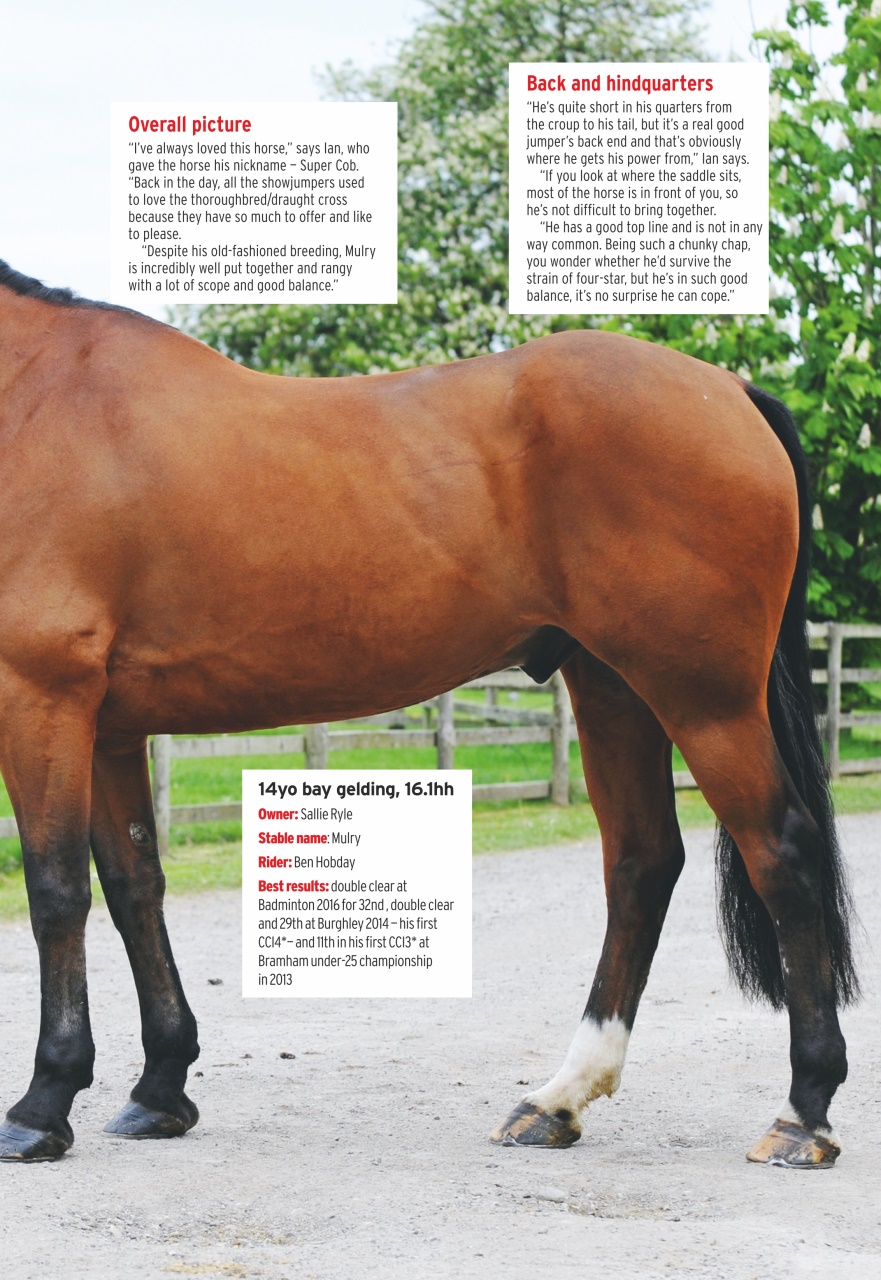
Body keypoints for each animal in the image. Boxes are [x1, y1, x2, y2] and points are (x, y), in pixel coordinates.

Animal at [0, 260, 858, 1167]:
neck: (36, 395)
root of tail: (727, 389)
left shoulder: (41, 696)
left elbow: (55, 891)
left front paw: (42, 1102)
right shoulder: (108, 727)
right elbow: (135, 887)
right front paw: (160, 1088)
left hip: (704, 700)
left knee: (782, 856)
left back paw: (801, 1113)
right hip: (613, 687)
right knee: (641, 864)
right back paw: (556, 1099)